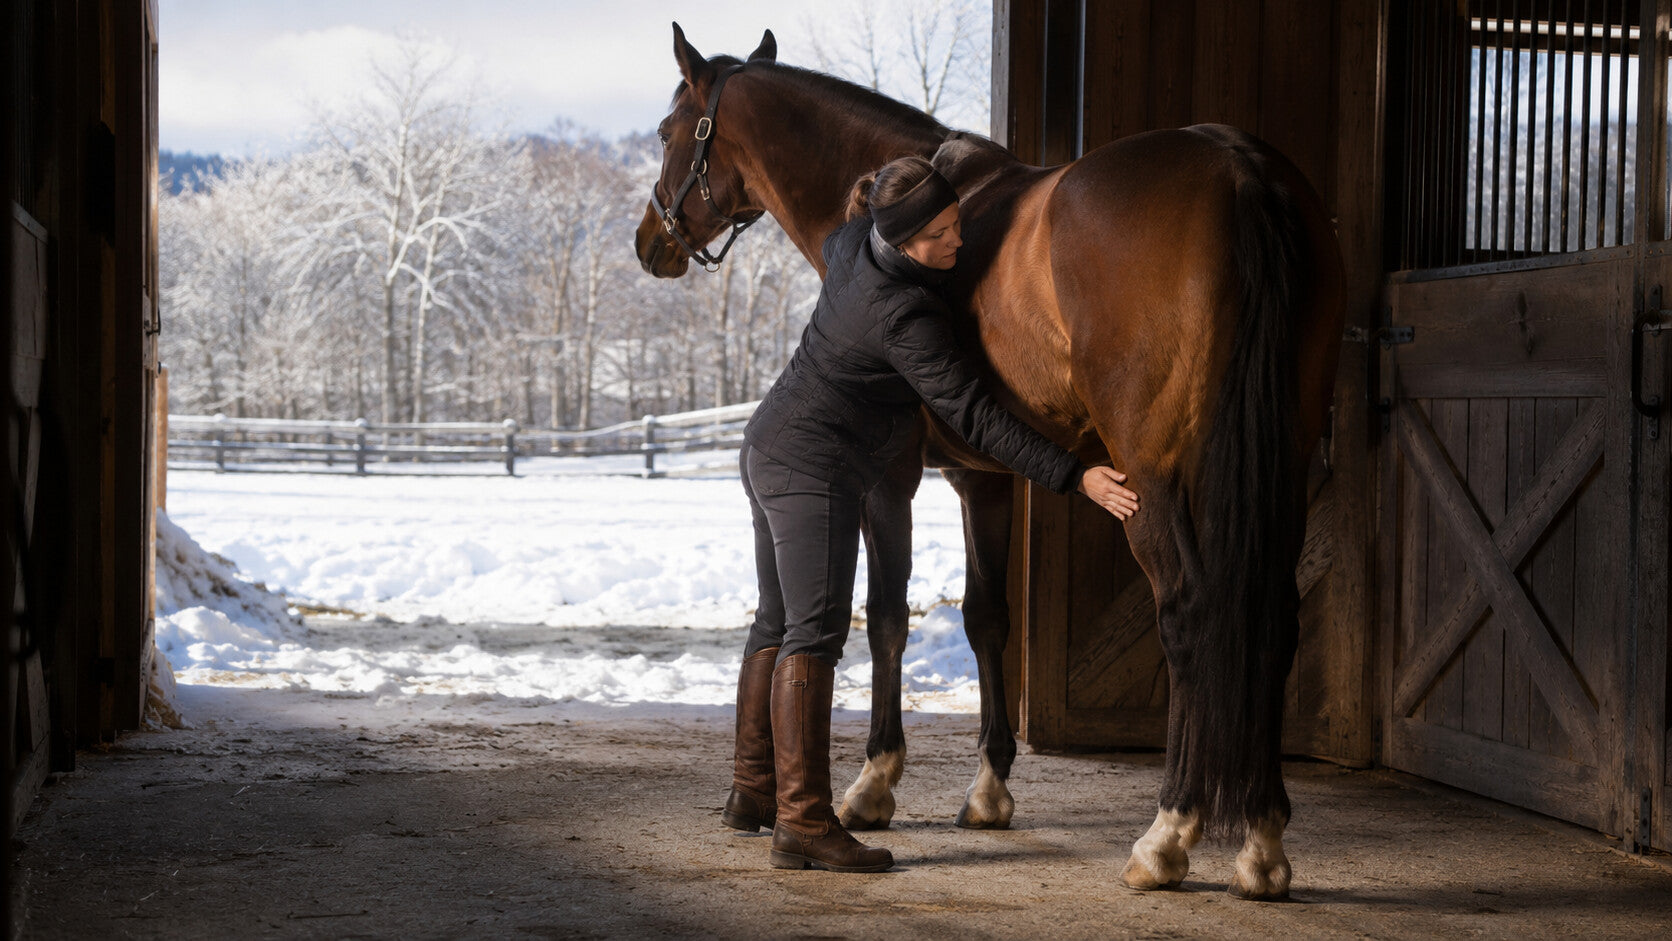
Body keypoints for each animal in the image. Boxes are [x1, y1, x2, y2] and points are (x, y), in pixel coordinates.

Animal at [634, 25, 1344, 900]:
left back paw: (1168, 833)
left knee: (1188, 615)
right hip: (1282, 466)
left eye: (667, 132)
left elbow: (890, 615)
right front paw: (989, 788)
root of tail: (1241, 170)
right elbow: (987, 617)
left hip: (1157, 477)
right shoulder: (987, 475)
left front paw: (874, 783)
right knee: (1275, 616)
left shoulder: (891, 475)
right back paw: (1262, 842)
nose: (651, 241)